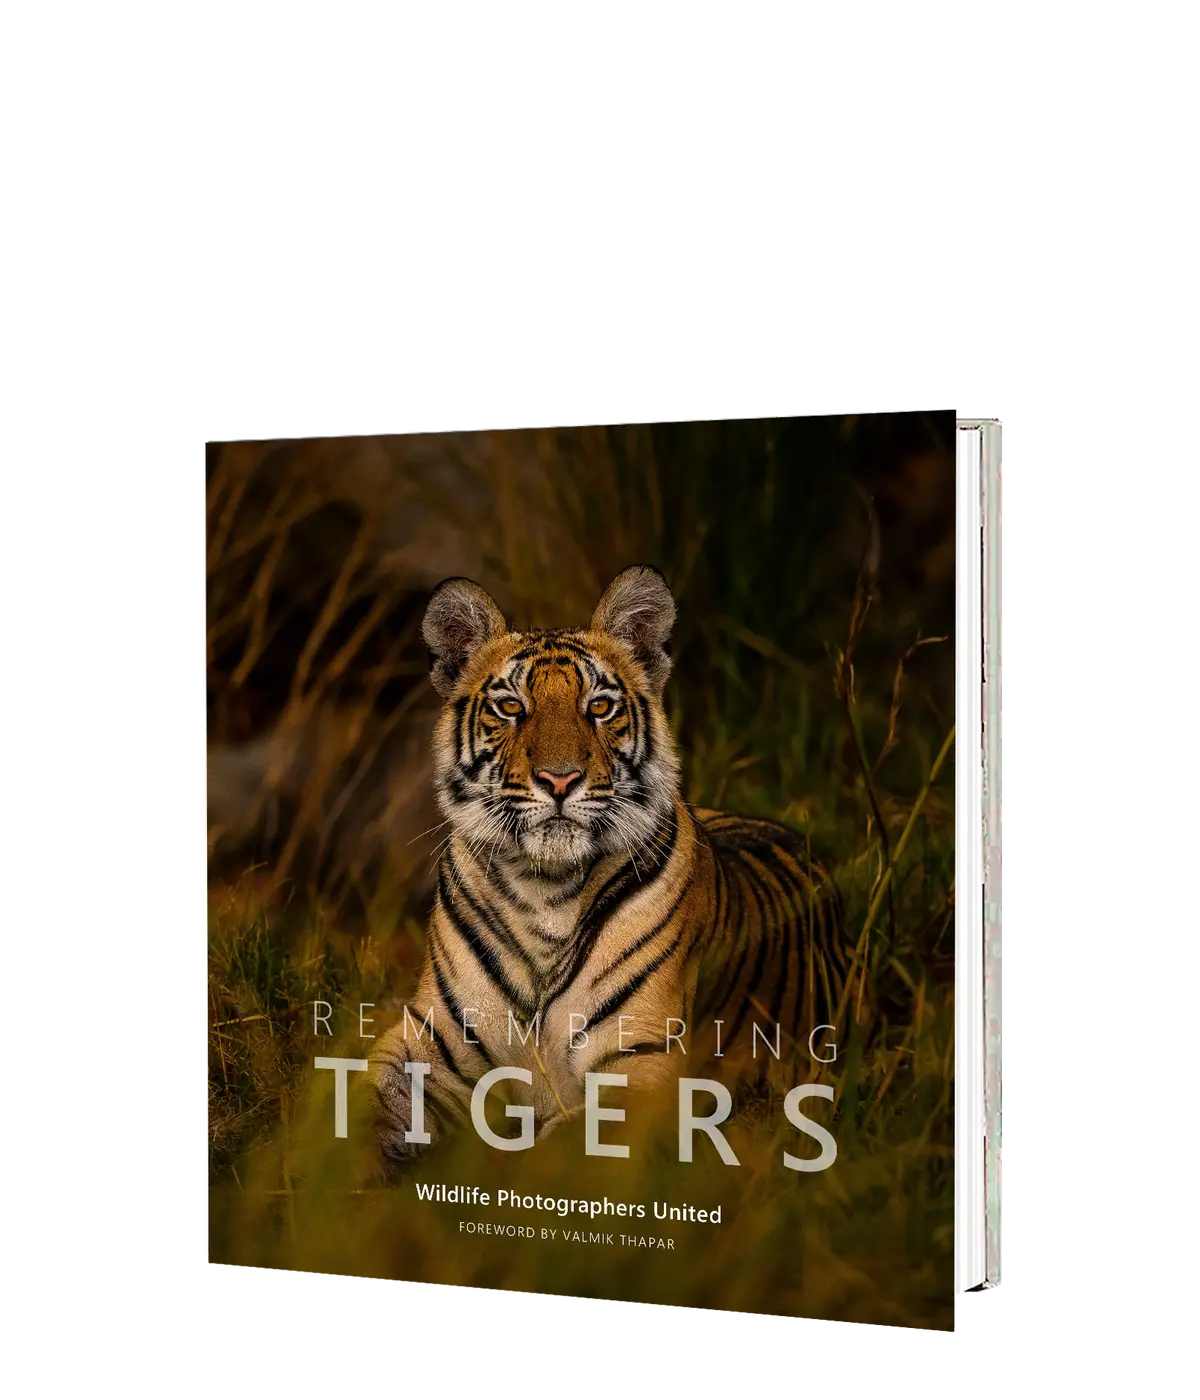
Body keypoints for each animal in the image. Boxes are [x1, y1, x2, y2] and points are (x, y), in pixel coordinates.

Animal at [370, 565, 845, 1170]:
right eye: (510, 708)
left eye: (599, 707)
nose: (559, 779)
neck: (543, 891)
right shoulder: (430, 1044)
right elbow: (364, 1107)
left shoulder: (641, 1070)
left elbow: (552, 1153)